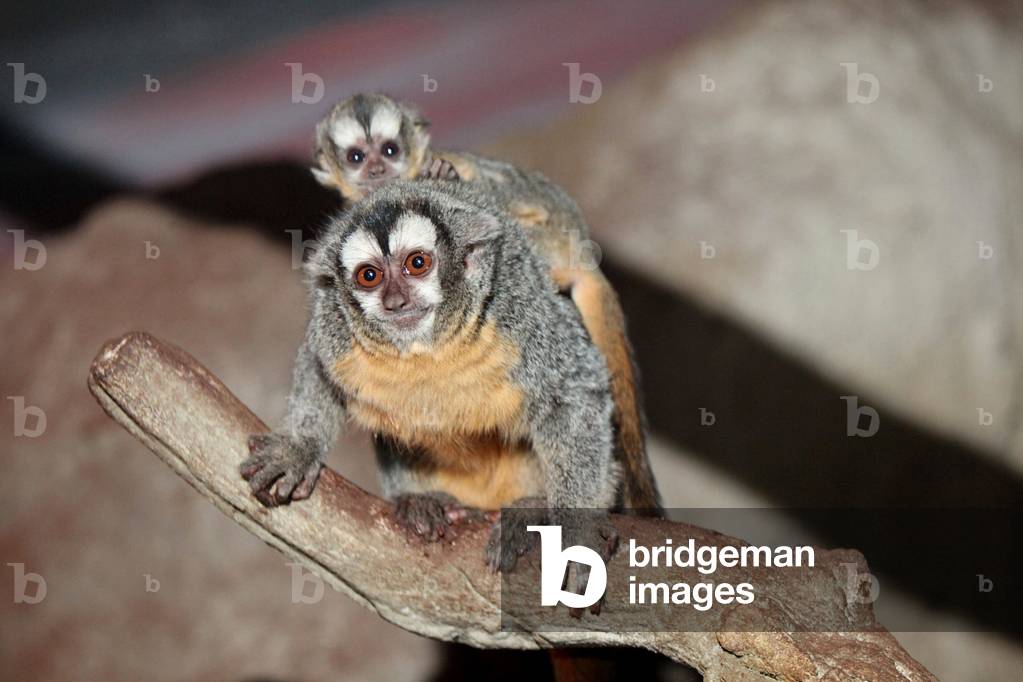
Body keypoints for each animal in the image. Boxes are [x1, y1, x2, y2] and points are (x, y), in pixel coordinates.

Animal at [241, 180, 637, 586]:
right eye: (370, 276)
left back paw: (530, 511)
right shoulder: (334, 327)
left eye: (417, 264)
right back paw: (422, 501)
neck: (426, 343)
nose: (395, 300)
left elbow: (573, 388)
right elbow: (317, 366)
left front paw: (574, 529)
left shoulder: (519, 312)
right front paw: (298, 449)